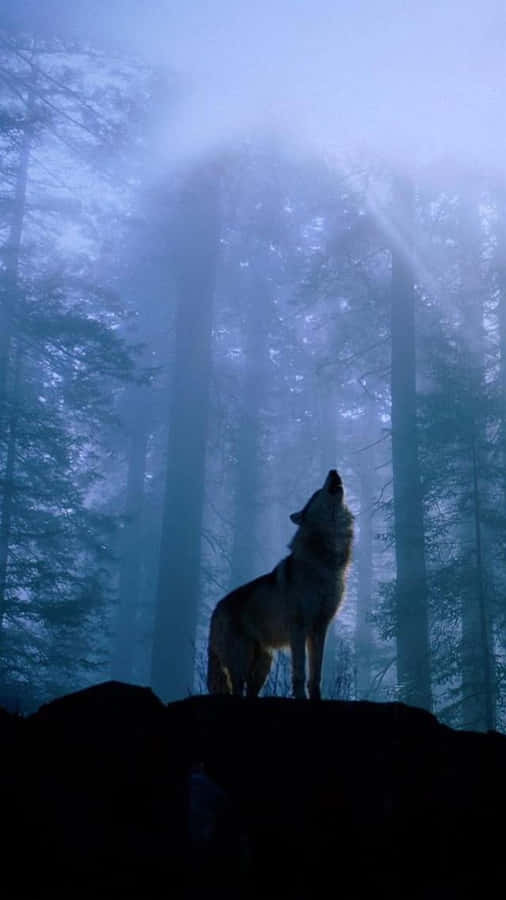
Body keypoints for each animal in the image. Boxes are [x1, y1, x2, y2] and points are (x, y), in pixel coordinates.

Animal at [207, 469, 354, 700]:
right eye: (317, 492)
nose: (333, 470)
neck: (326, 561)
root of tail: (216, 609)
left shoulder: (320, 628)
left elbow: (316, 675)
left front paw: (317, 698)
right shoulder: (298, 629)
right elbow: (300, 674)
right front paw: (301, 698)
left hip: (263, 666)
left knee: (250, 692)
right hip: (241, 663)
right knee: (237, 689)